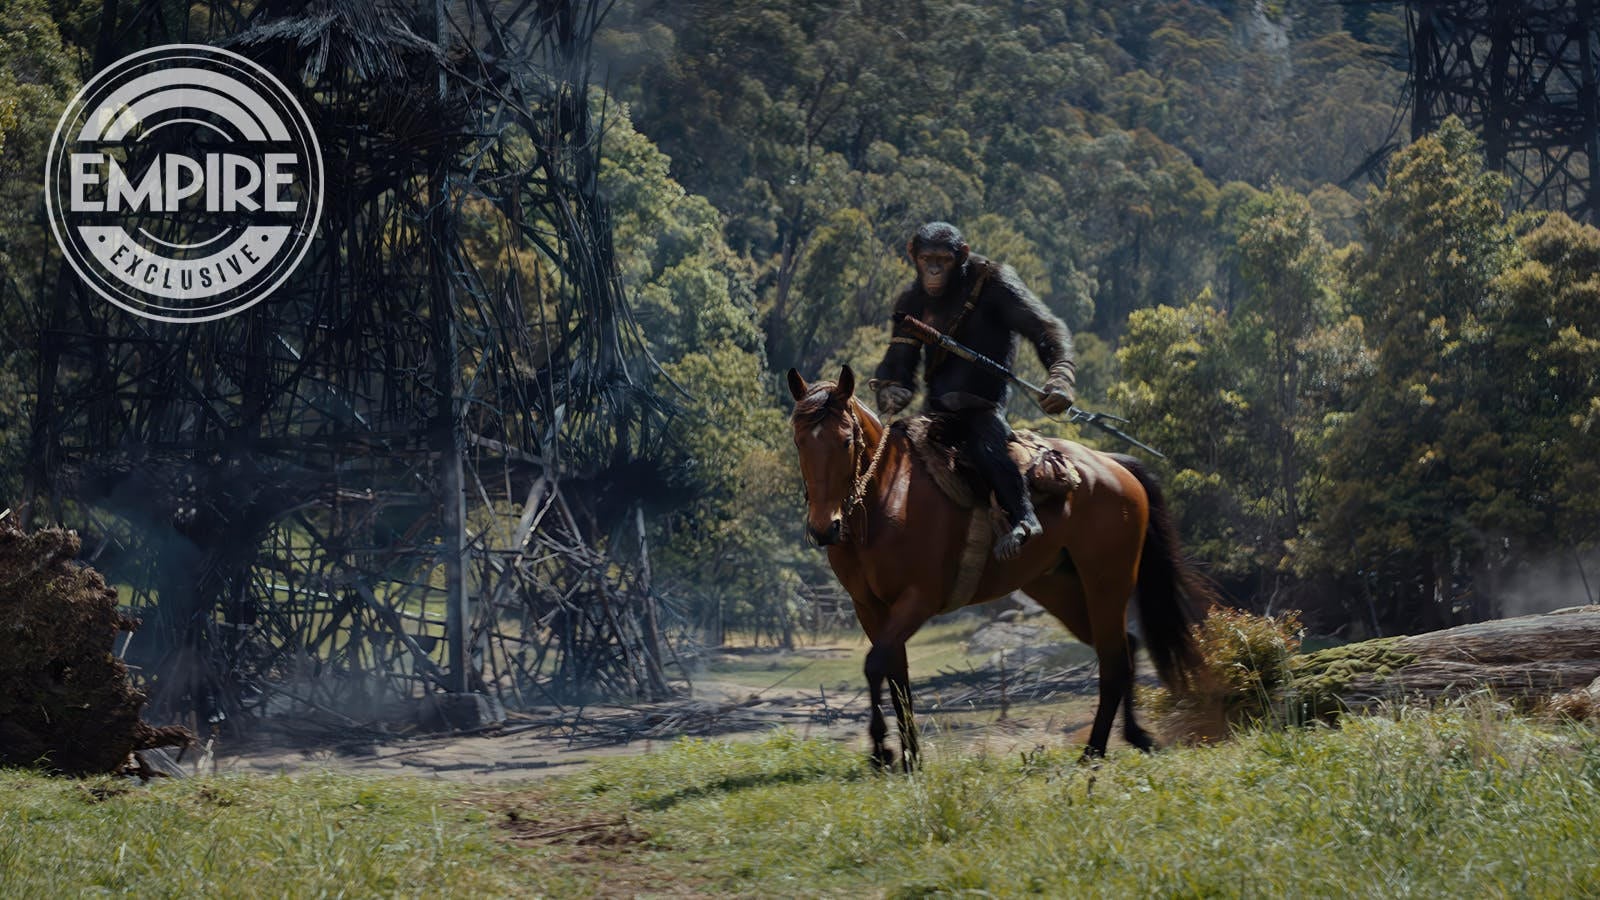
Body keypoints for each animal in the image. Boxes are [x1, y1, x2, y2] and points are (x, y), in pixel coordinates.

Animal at [787, 365, 1209, 762]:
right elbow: (896, 675)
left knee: (1114, 660)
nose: (824, 528)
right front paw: (909, 759)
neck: (886, 499)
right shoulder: (870, 607)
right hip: (1059, 588)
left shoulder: (919, 600)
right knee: (1125, 647)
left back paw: (1093, 753)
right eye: (799, 441)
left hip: (1107, 580)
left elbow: (876, 665)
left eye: (845, 440)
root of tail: (1112, 466)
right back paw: (1134, 735)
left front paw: (881, 751)